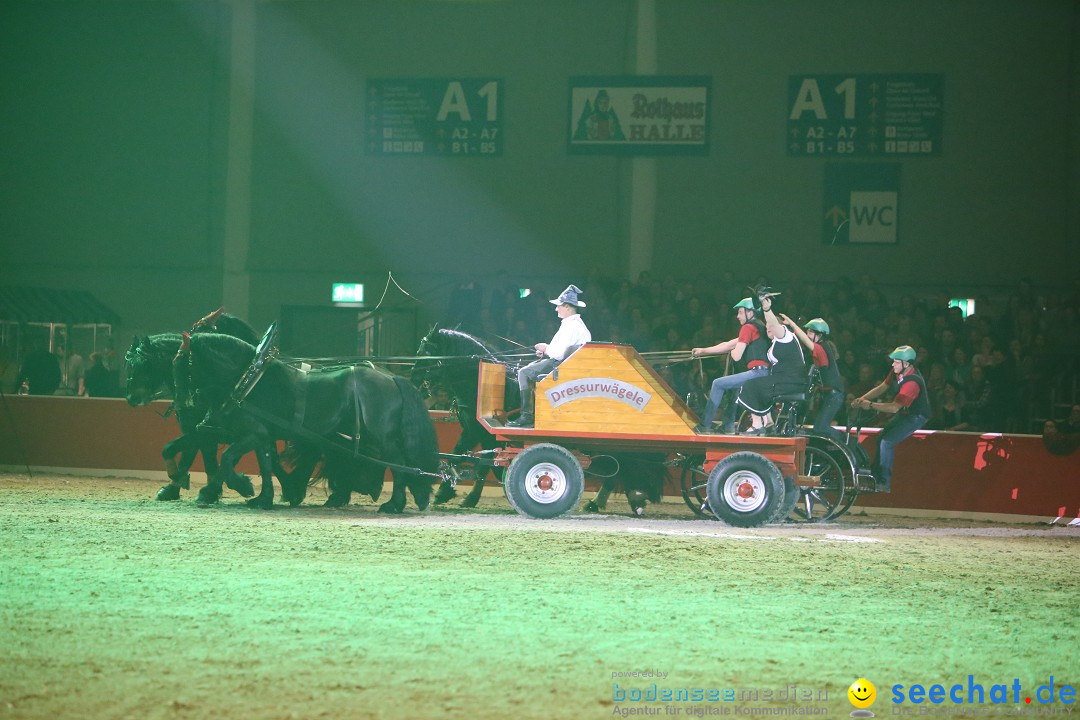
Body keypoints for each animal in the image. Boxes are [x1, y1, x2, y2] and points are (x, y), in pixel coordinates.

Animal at [129, 332, 438, 511]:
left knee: (399, 465)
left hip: (382, 438)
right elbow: (265, 463)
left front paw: (223, 490)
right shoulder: (252, 433)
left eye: (183, 365)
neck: (245, 380)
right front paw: (263, 496)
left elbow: (228, 459)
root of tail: (392, 378)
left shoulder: (250, 432)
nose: (131, 397)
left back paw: (393, 504)